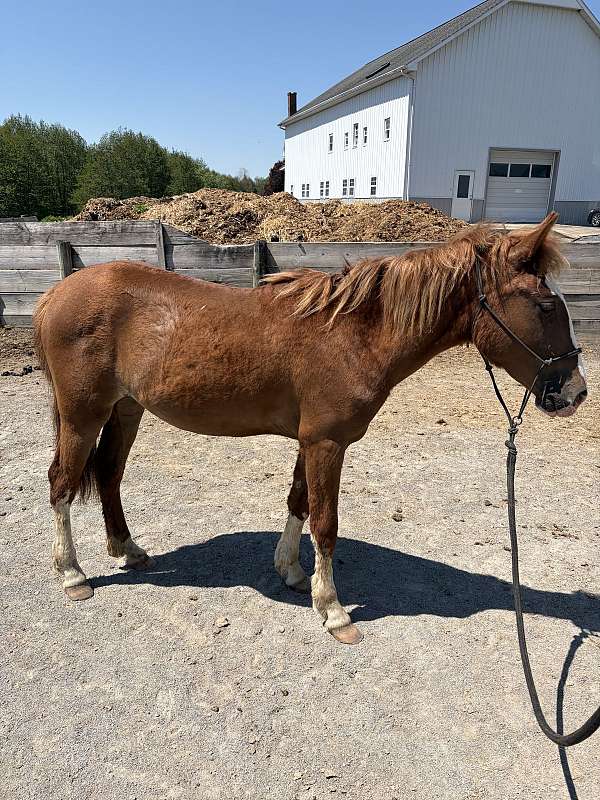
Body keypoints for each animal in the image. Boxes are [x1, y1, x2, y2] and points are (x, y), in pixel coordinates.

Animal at [34, 212, 587, 645]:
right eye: (545, 305)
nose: (576, 392)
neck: (353, 334)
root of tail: (57, 292)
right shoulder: (326, 443)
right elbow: (325, 523)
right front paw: (334, 610)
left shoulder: (311, 442)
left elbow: (299, 504)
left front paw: (293, 573)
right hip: (82, 415)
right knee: (61, 483)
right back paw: (73, 574)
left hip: (125, 410)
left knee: (108, 475)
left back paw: (127, 550)